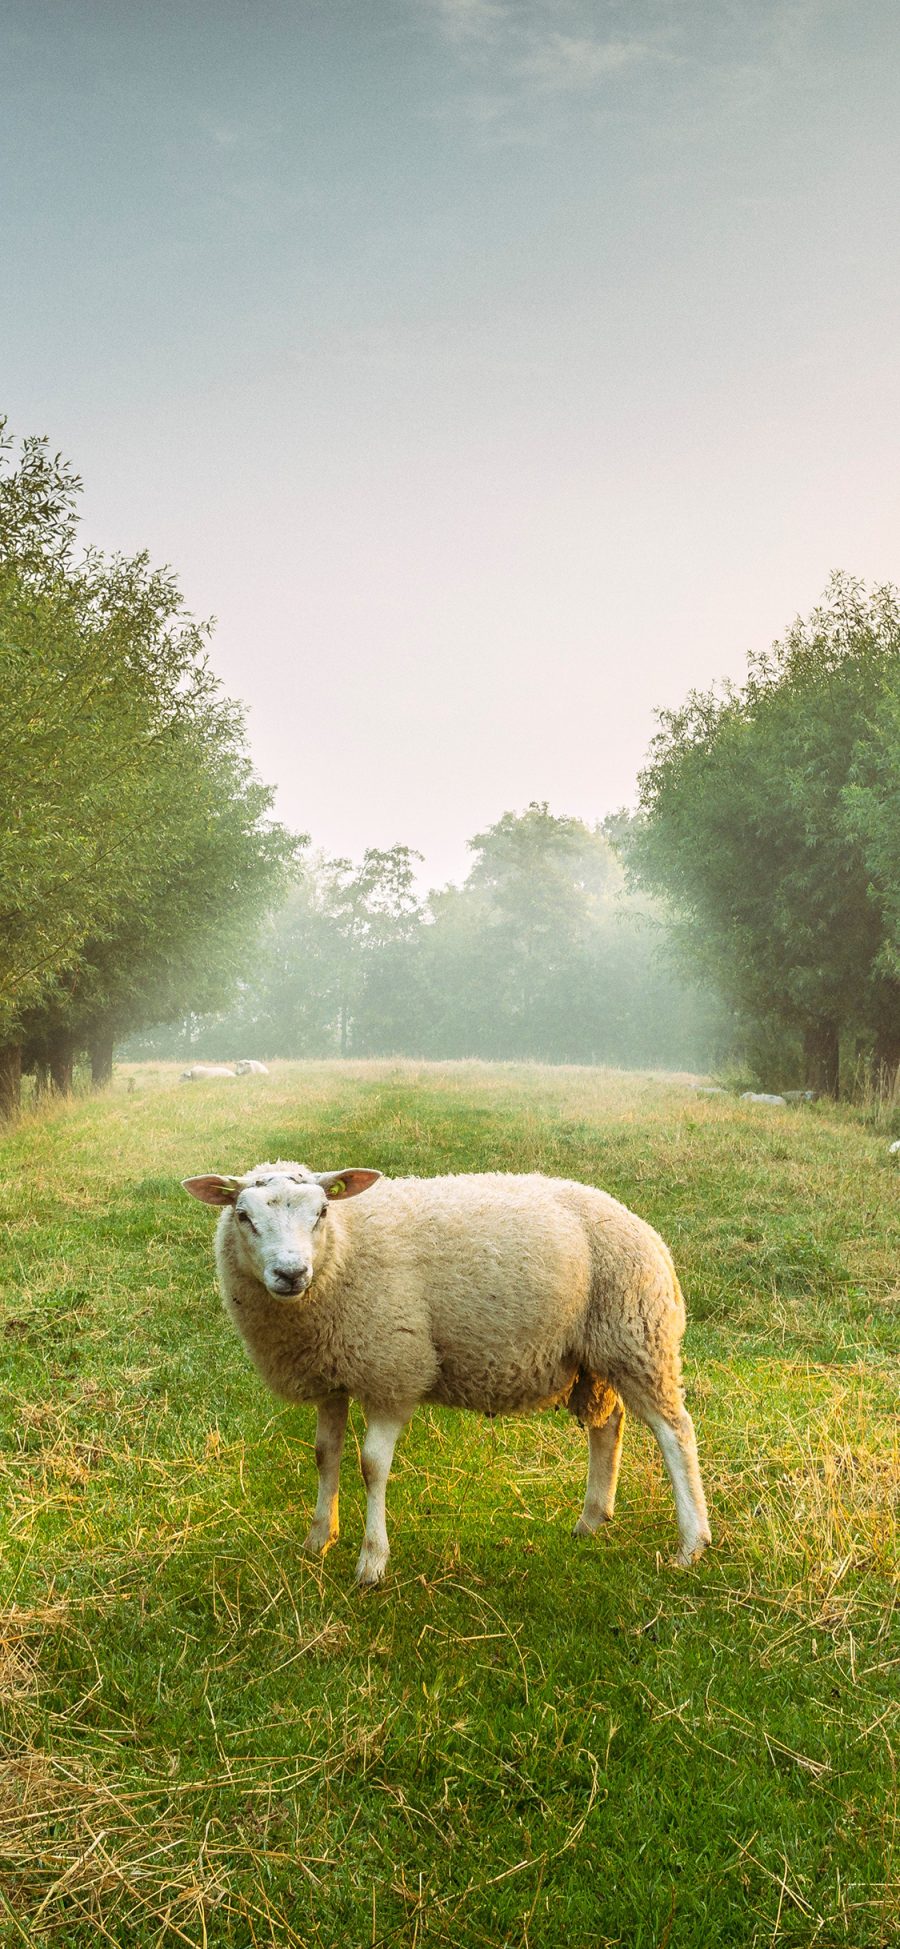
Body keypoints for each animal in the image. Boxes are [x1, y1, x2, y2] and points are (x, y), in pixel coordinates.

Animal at [183, 1153, 712, 1582]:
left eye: (322, 1212)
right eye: (243, 1215)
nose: (291, 1274)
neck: (343, 1251)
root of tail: (642, 1227)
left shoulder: (393, 1369)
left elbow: (371, 1466)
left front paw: (371, 1562)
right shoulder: (333, 1374)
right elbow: (324, 1455)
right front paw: (318, 1540)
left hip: (637, 1335)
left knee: (675, 1431)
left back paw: (691, 1544)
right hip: (595, 1354)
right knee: (609, 1424)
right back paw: (591, 1519)